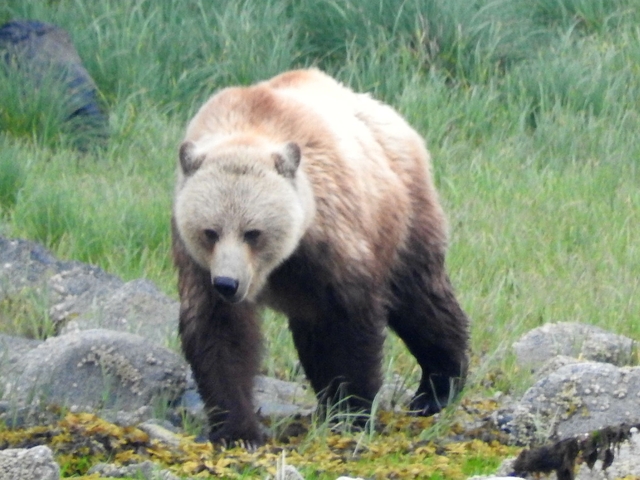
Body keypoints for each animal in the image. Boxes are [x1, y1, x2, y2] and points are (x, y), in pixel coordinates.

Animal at [172, 68, 469, 447]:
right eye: (210, 231)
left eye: (253, 232)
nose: (228, 283)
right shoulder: (197, 262)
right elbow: (220, 332)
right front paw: (237, 429)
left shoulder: (332, 240)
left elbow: (348, 323)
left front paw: (353, 411)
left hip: (403, 213)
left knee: (420, 299)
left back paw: (437, 387)